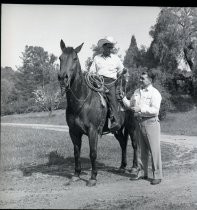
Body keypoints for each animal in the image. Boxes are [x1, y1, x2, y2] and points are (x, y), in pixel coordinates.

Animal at [57, 39, 139, 187]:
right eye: (60, 58)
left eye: (75, 58)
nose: (62, 78)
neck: (81, 102)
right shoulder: (73, 132)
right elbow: (76, 153)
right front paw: (76, 175)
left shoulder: (93, 131)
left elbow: (93, 153)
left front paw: (93, 177)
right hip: (117, 129)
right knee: (123, 143)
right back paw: (122, 166)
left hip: (132, 126)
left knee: (134, 144)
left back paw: (134, 167)